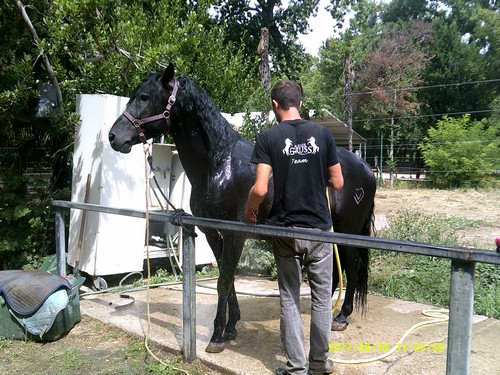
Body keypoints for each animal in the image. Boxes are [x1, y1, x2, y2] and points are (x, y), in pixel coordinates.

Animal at [108, 63, 376, 354]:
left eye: (144, 97)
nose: (113, 136)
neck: (219, 165)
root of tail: (366, 168)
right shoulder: (213, 233)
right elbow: (228, 279)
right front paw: (232, 325)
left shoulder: (235, 235)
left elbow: (223, 280)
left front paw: (217, 335)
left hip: (348, 232)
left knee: (352, 267)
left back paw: (341, 317)